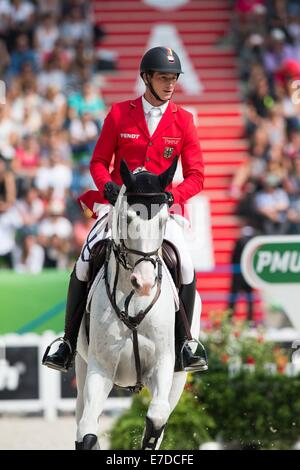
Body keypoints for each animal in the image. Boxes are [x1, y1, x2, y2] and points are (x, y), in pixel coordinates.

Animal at [74, 160, 202, 450]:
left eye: (163, 220)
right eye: (128, 218)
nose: (143, 282)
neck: (133, 301)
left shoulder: (163, 365)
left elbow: (156, 418)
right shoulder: (100, 369)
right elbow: (87, 432)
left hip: (179, 377)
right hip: (81, 364)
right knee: (81, 418)